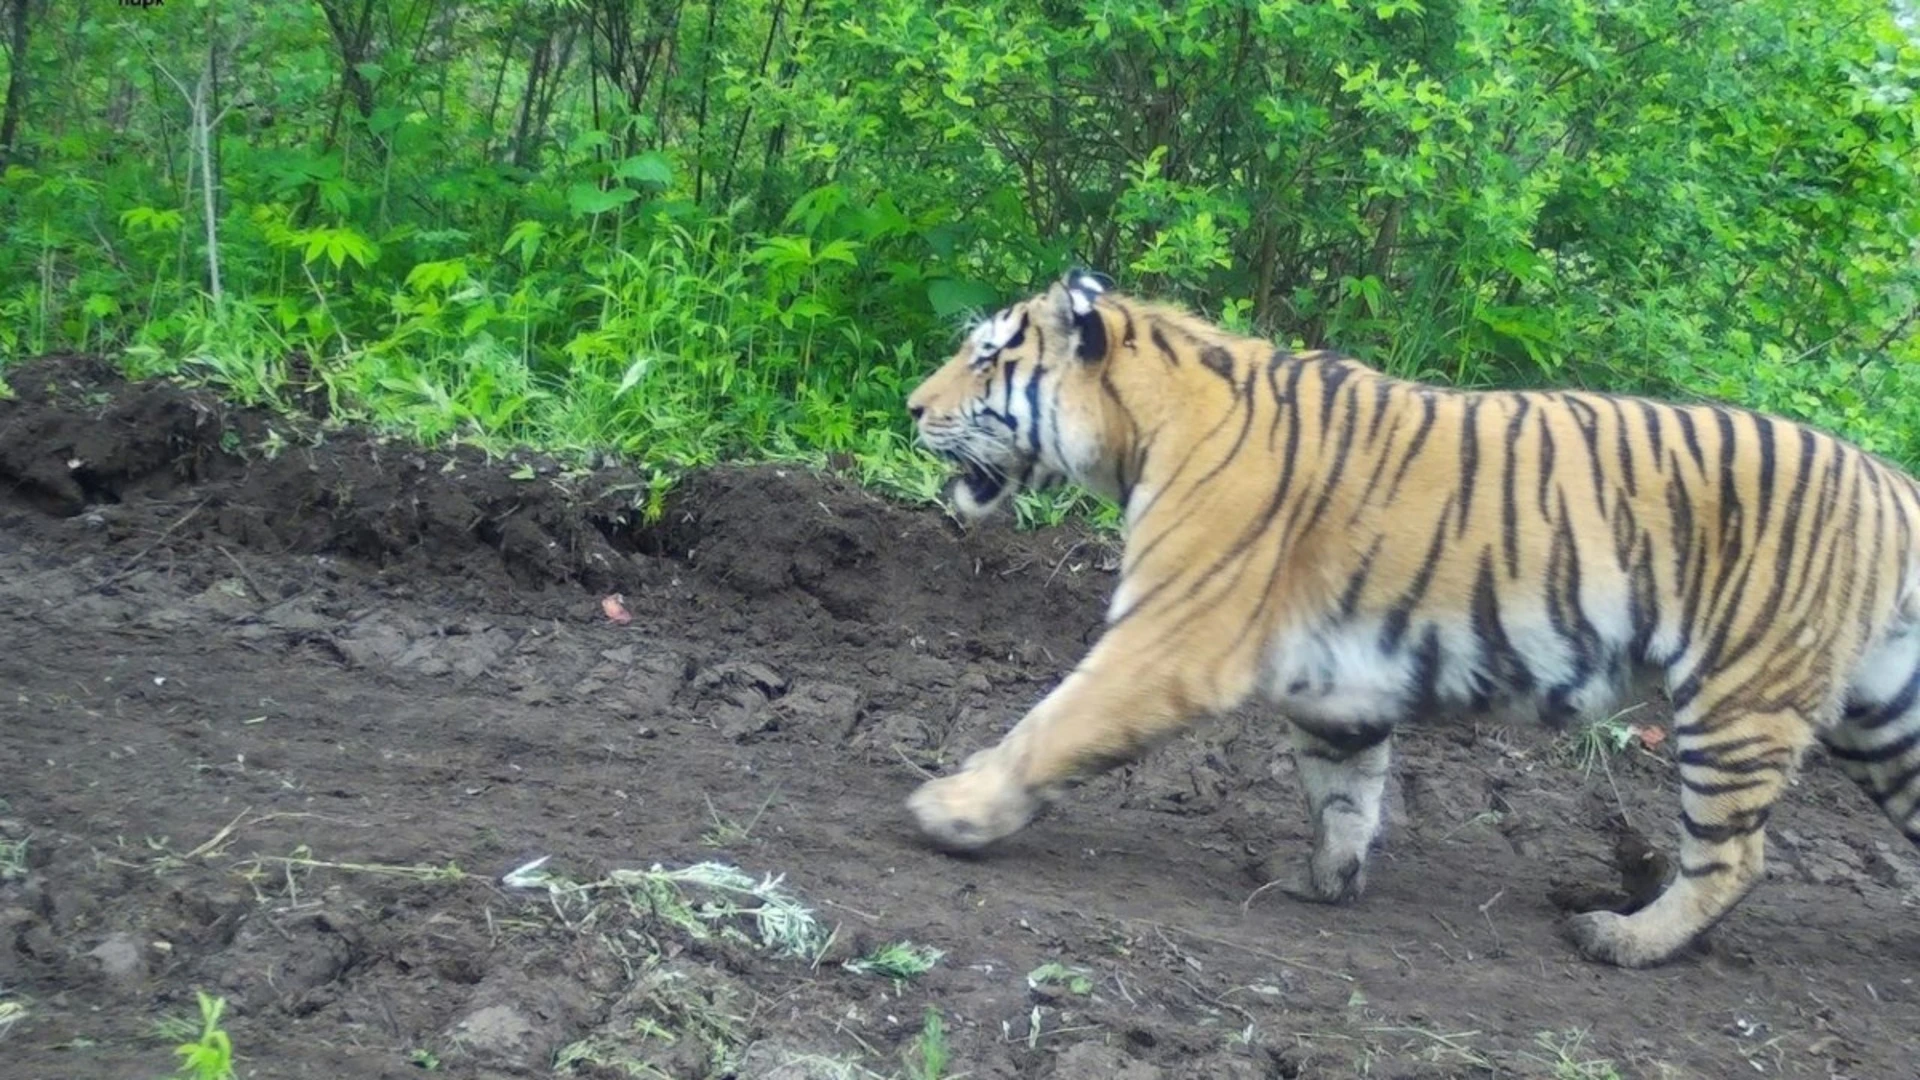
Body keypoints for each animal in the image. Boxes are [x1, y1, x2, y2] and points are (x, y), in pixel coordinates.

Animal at [906, 269, 1920, 968]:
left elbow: (1049, 728)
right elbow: (1344, 793)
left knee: (1733, 857)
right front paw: (1323, 883)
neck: (1138, 431)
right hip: (1884, 717)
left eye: (987, 357)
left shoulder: (1168, 639)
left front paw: (951, 811)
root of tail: (1889, 480)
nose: (913, 408)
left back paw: (1621, 938)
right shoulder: (1336, 684)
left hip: (1741, 698)